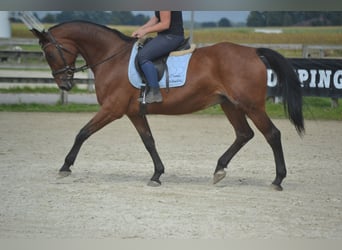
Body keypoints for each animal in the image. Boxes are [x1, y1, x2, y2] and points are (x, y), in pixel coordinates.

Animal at [30, 20, 304, 190]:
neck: (112, 57)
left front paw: (65, 166)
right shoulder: (134, 113)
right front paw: (157, 174)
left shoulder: (112, 109)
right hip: (231, 105)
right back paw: (219, 169)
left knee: (272, 134)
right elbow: (149, 141)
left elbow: (82, 133)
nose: (65, 84)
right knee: (244, 134)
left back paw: (278, 180)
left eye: (50, 53)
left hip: (252, 106)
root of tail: (253, 51)